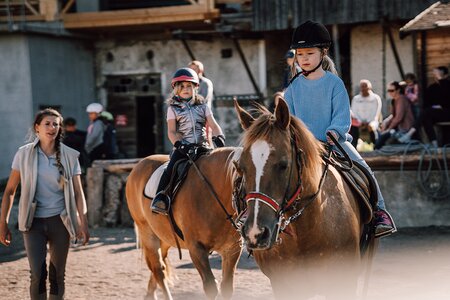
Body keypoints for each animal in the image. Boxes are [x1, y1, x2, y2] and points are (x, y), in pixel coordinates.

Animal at [123, 150, 243, 300]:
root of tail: (139, 164)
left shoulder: (232, 249)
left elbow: (227, 287)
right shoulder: (196, 249)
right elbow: (211, 286)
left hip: (165, 236)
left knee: (160, 265)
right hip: (147, 232)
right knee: (158, 269)